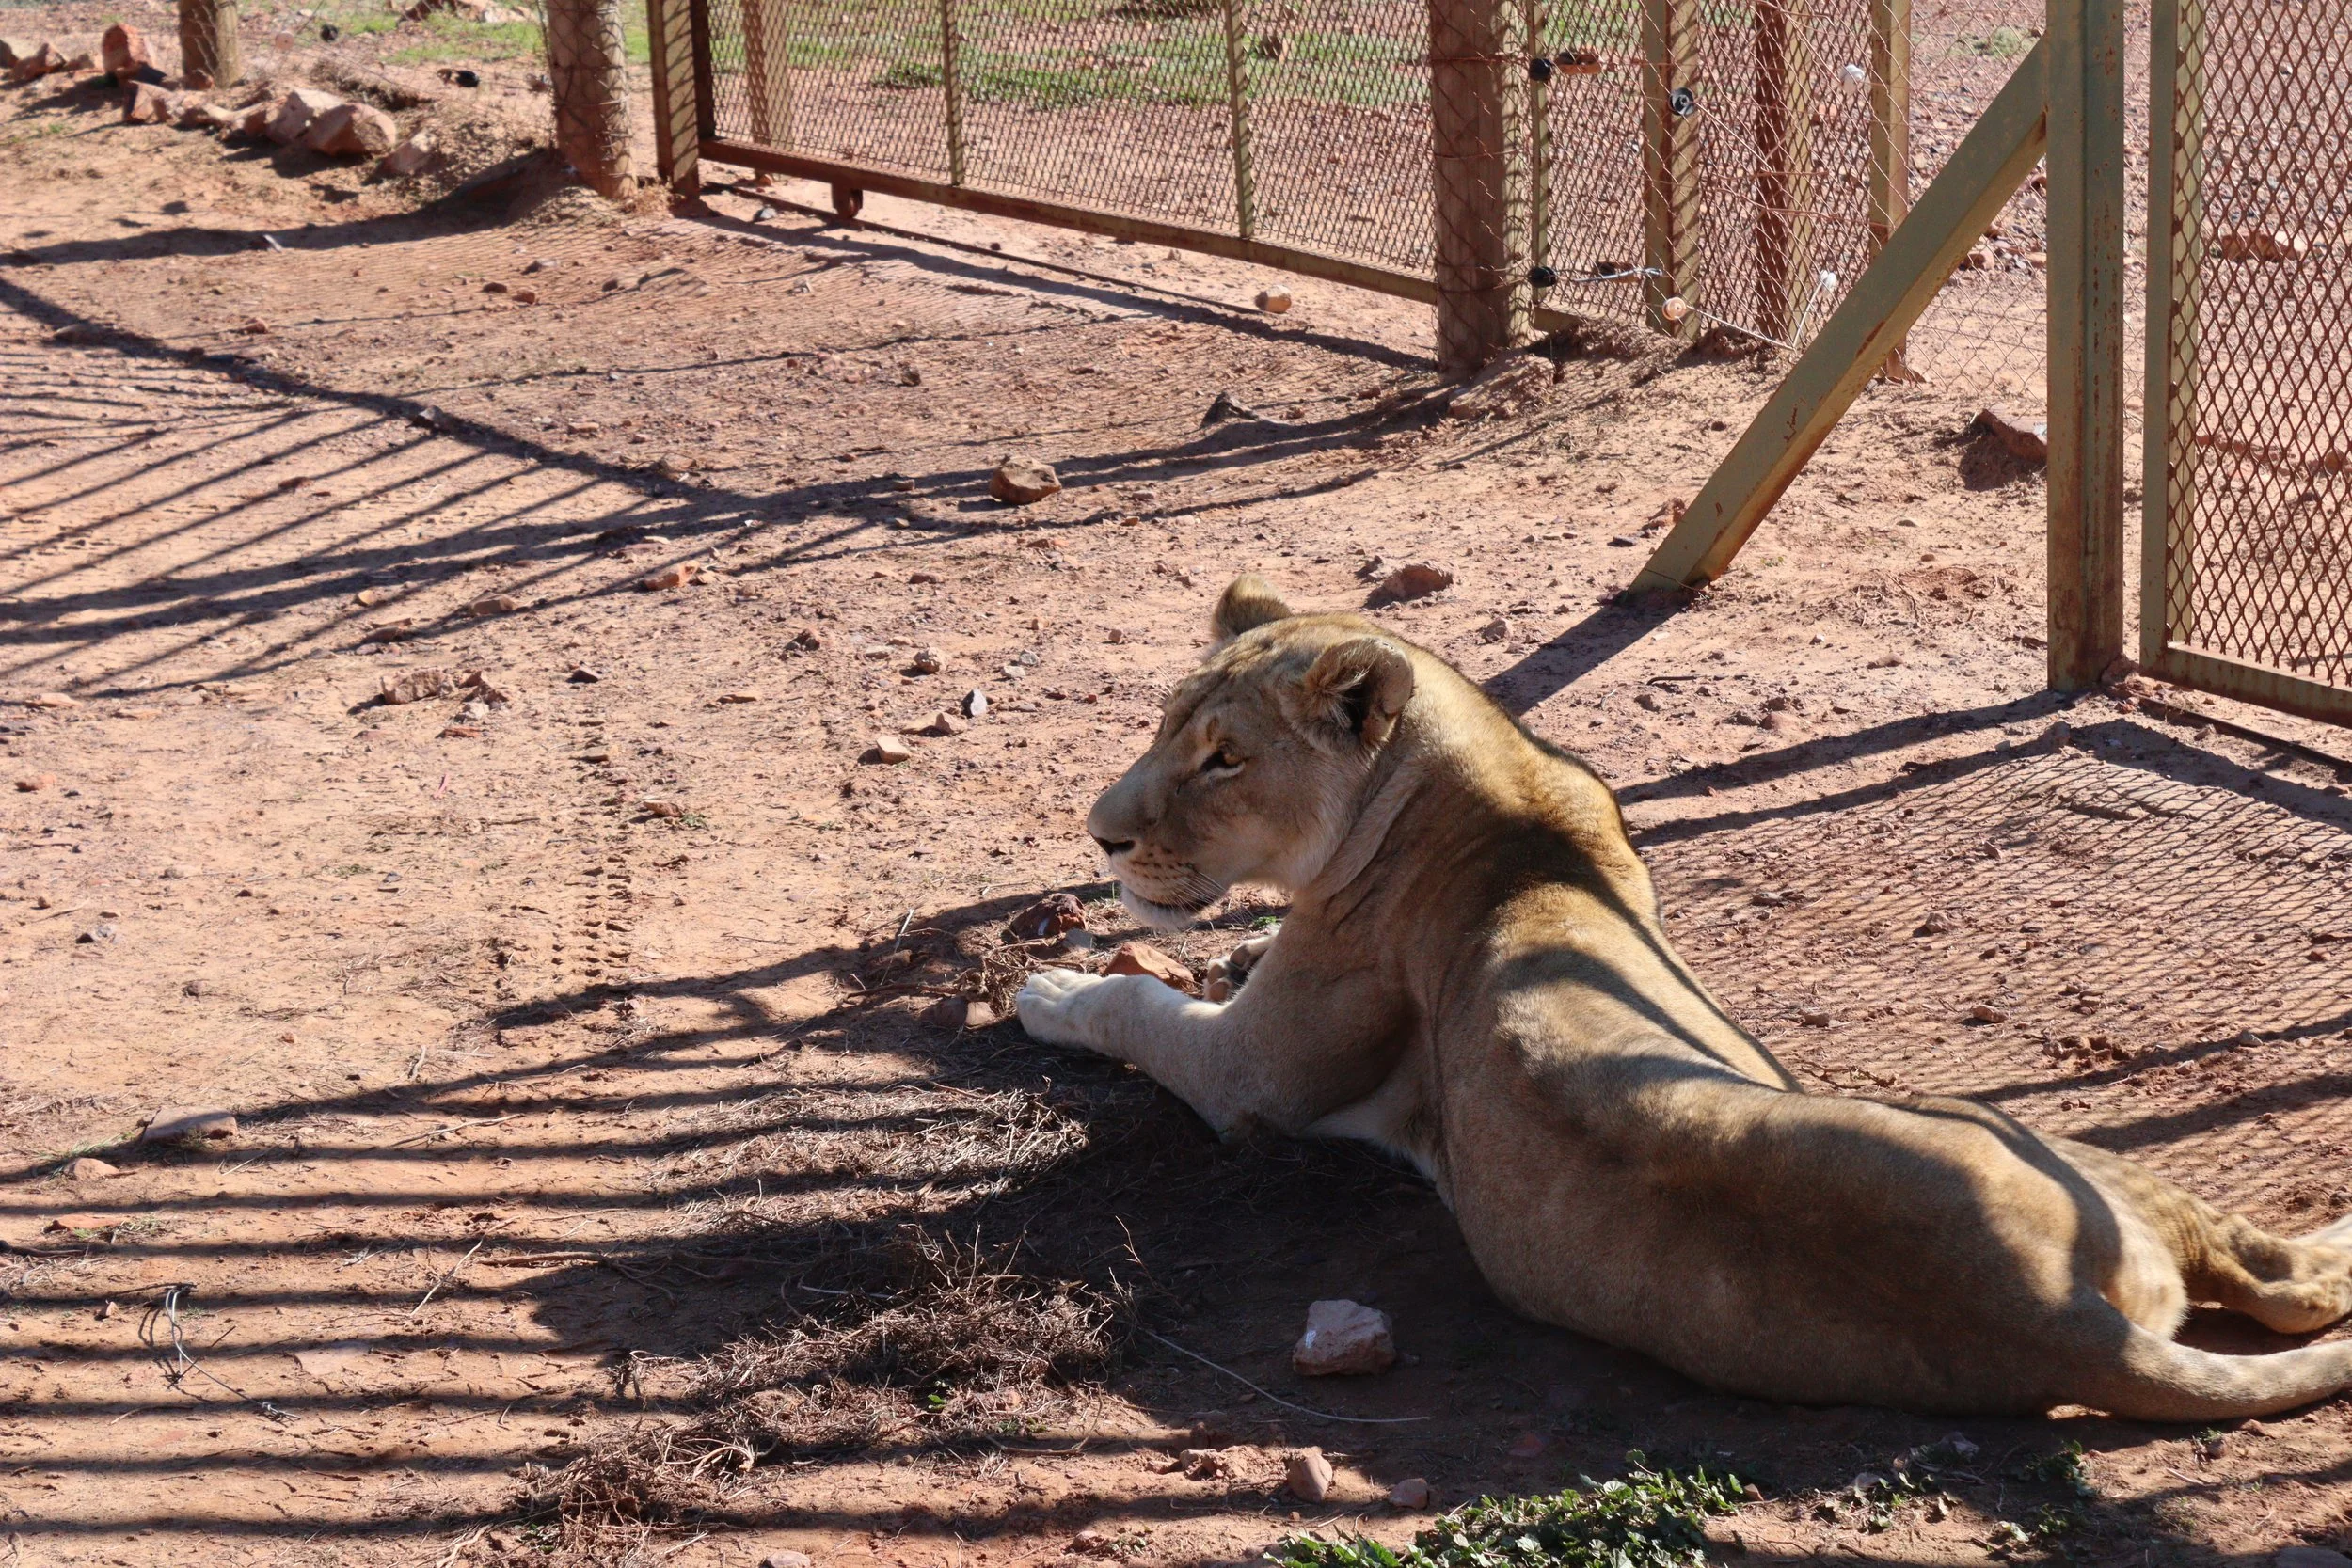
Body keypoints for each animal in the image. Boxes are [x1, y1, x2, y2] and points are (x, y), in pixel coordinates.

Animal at [1017, 574, 2352, 1419]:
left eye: (1224, 758)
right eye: (1164, 727)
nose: (1098, 835)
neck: (1485, 779)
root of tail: (2055, 1317)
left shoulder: (1254, 1080)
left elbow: (1136, 1012)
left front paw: (1050, 984)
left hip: (2023, 1126)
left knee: (2276, 1271)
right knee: (2284, 1290)